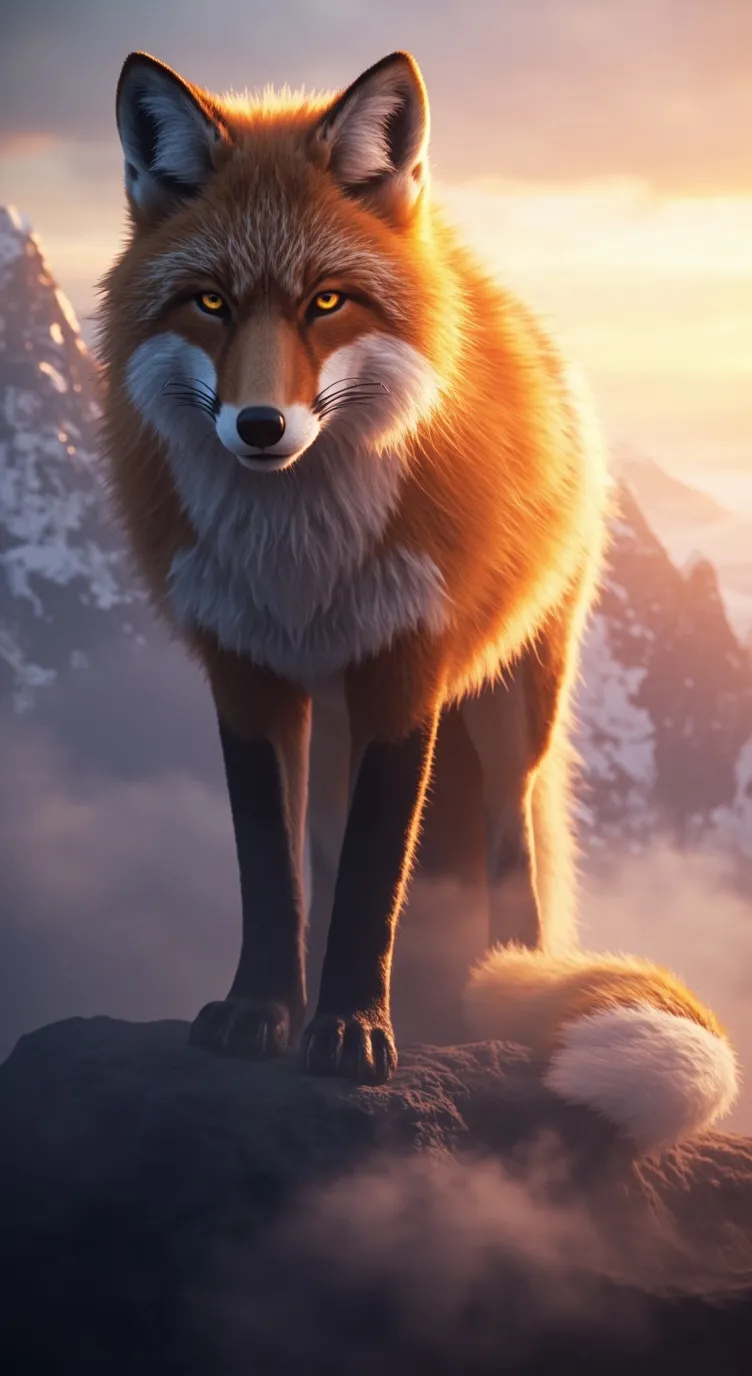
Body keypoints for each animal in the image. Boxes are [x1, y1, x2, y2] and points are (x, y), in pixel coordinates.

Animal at [97, 48, 738, 1152]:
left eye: (327, 303)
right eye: (210, 303)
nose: (259, 426)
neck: (298, 555)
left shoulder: (407, 665)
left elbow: (372, 876)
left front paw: (352, 1032)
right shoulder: (245, 670)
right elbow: (272, 870)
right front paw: (265, 1012)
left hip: (511, 711)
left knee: (510, 856)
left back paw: (487, 996)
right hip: (336, 717)